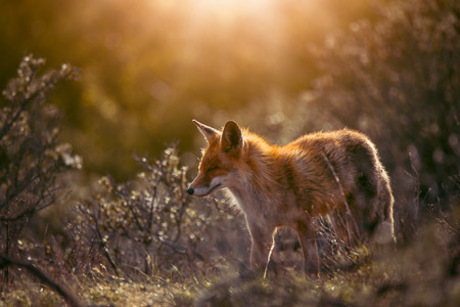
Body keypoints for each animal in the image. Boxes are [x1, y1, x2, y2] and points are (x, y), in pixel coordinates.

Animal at [187, 119, 396, 276]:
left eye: (213, 168)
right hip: (342, 224)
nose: (189, 190)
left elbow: (311, 269)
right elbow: (256, 272)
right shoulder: (261, 235)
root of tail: (366, 140)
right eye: (201, 168)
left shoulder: (305, 225)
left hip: (364, 221)